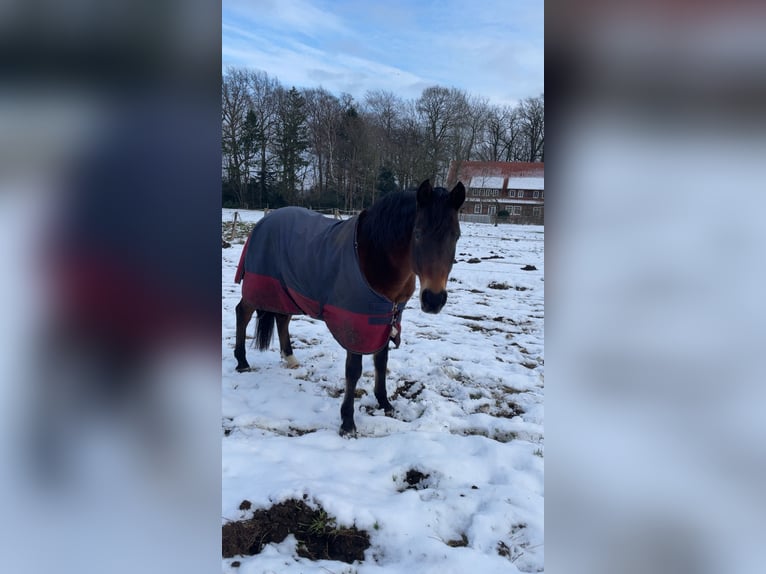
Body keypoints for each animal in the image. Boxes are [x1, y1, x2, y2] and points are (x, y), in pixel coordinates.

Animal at [233, 179, 465, 436]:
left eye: (456, 236)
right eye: (418, 233)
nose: (434, 299)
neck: (374, 254)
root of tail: (264, 221)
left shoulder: (384, 318)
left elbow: (381, 362)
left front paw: (385, 403)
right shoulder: (355, 322)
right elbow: (354, 370)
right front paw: (347, 422)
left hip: (287, 291)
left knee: (282, 319)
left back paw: (291, 359)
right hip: (258, 287)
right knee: (243, 313)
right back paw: (242, 362)